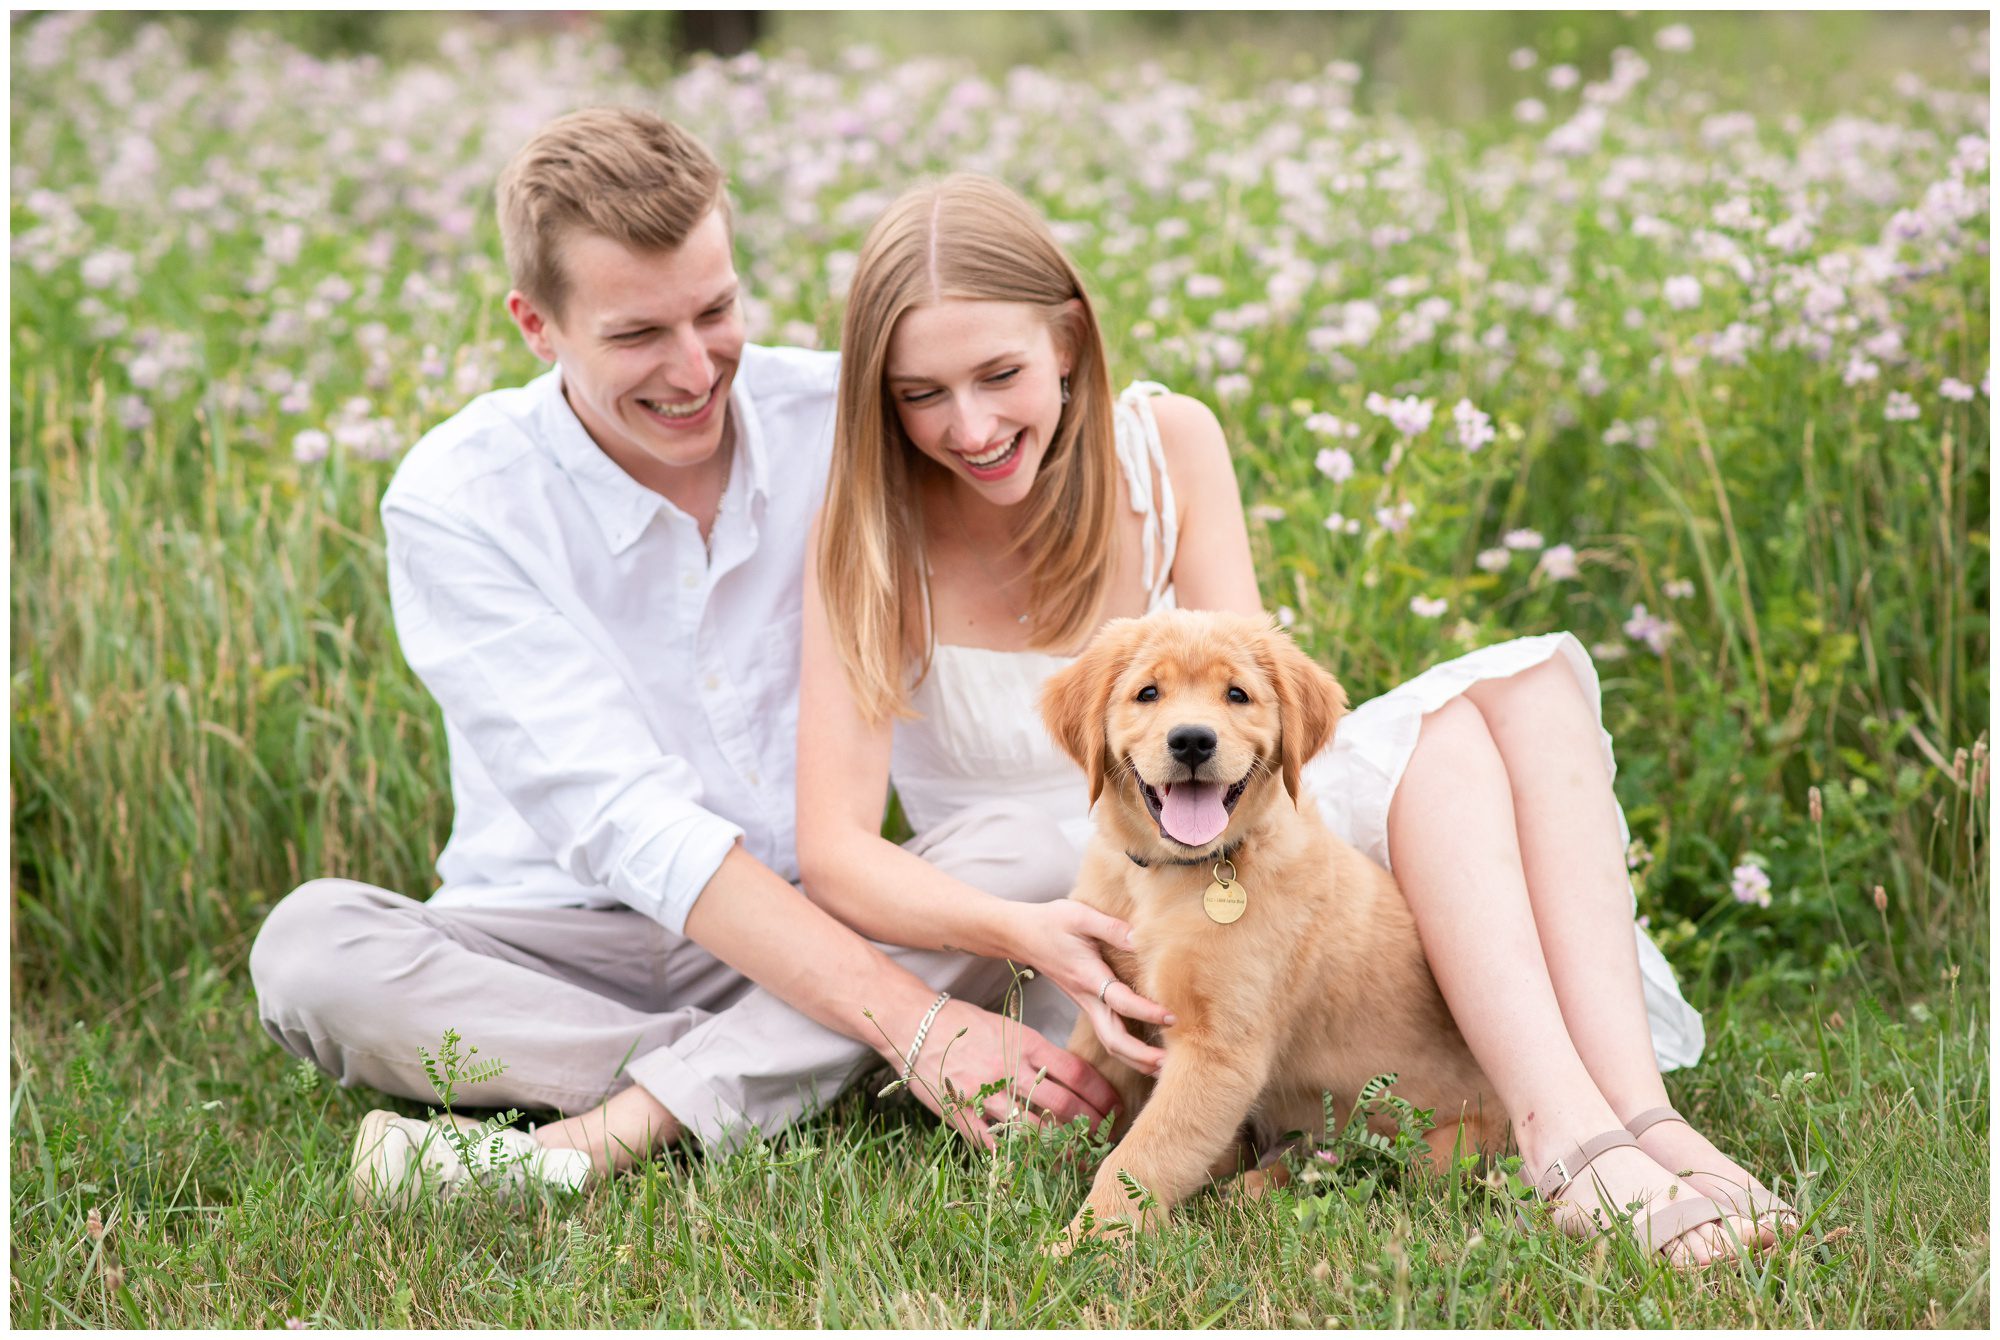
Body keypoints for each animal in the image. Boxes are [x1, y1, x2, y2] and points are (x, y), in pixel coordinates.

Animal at [1048, 612, 1504, 1248]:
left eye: (1237, 695)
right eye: (1148, 693)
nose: (1192, 740)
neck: (1174, 874)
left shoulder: (1220, 1050)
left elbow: (1143, 1153)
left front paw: (1086, 1241)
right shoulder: (1110, 1008)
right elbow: (1092, 1095)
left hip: (1437, 1149)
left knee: (1367, 1168)